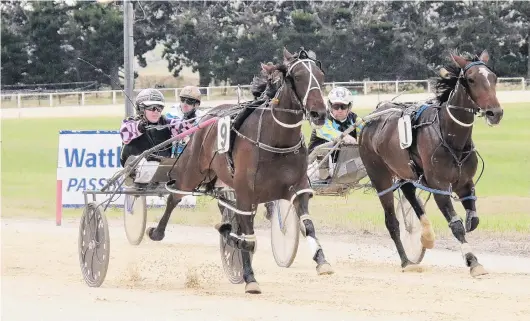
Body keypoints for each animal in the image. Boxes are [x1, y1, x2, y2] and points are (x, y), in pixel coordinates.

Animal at [144, 47, 334, 292]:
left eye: (321, 76)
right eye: (298, 76)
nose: (319, 113)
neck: (277, 140)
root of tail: (208, 114)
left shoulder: (297, 187)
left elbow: (307, 225)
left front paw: (322, 261)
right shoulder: (246, 193)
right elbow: (247, 238)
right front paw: (250, 279)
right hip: (192, 170)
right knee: (174, 197)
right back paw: (157, 231)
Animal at [356, 49, 502, 276]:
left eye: (494, 78)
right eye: (471, 79)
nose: (495, 113)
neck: (451, 136)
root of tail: (371, 119)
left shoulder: (465, 183)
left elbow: (473, 220)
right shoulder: (439, 186)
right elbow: (456, 225)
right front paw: (473, 261)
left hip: (404, 170)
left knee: (409, 192)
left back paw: (425, 236)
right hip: (379, 175)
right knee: (391, 221)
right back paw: (406, 261)